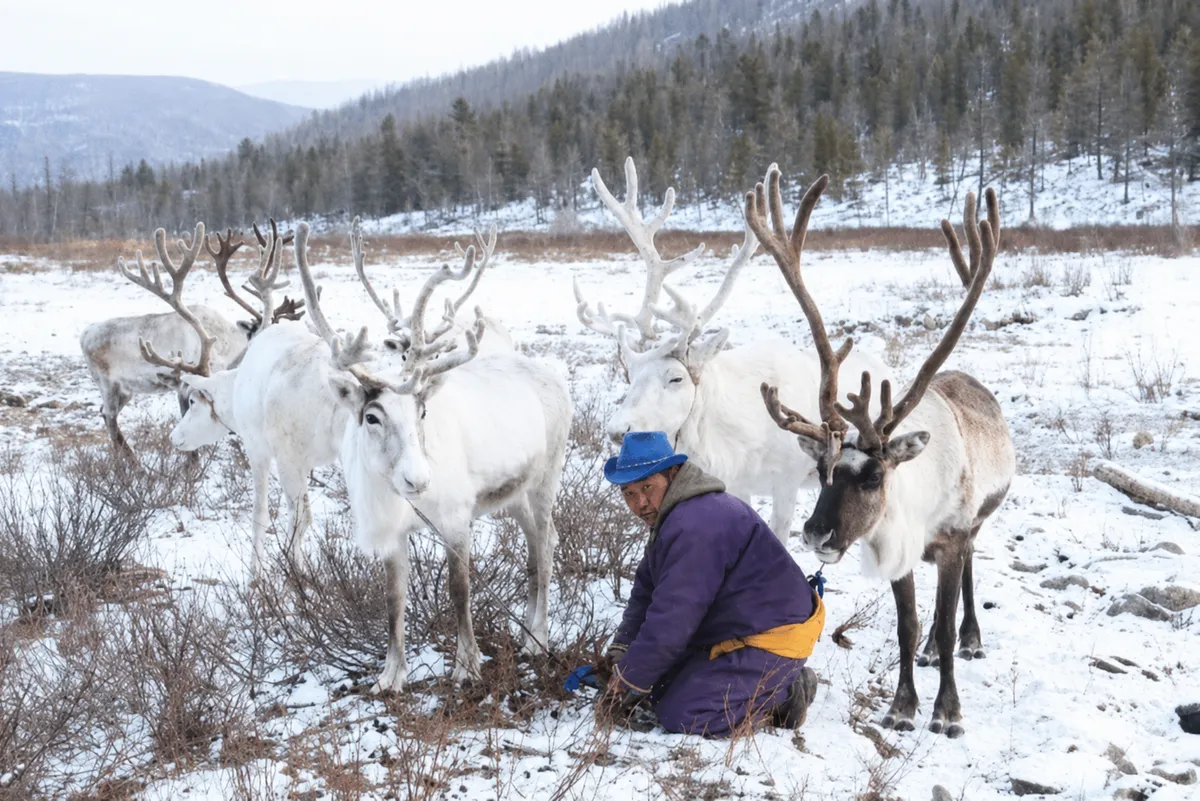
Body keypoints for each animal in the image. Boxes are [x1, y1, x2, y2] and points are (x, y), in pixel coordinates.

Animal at [82, 223, 303, 453]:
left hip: (126, 390)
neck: (227, 346)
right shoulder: (183, 385)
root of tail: (84, 335)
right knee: (109, 416)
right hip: (108, 385)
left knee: (105, 413)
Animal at [326, 226, 572, 695]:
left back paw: (538, 638)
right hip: (514, 495)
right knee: (535, 546)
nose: (418, 480)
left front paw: (466, 667)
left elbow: (460, 589)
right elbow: (393, 598)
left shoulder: (457, 517)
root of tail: (550, 374)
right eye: (372, 416)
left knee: (549, 545)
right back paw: (527, 629)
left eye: (421, 411)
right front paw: (390, 675)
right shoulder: (393, 534)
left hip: (546, 480)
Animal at [575, 157, 891, 543]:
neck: (727, 443)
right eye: (629, 374)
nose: (619, 429)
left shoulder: (786, 481)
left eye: (676, 378)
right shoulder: (737, 484)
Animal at [752, 166, 1015, 739]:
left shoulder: (950, 538)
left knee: (967, 580)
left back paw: (971, 639)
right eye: (821, 470)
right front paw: (901, 706)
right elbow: (908, 625)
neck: (914, 510)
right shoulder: (902, 554)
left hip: (977, 522)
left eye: (873, 476)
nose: (816, 533)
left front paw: (947, 712)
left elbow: (942, 620)